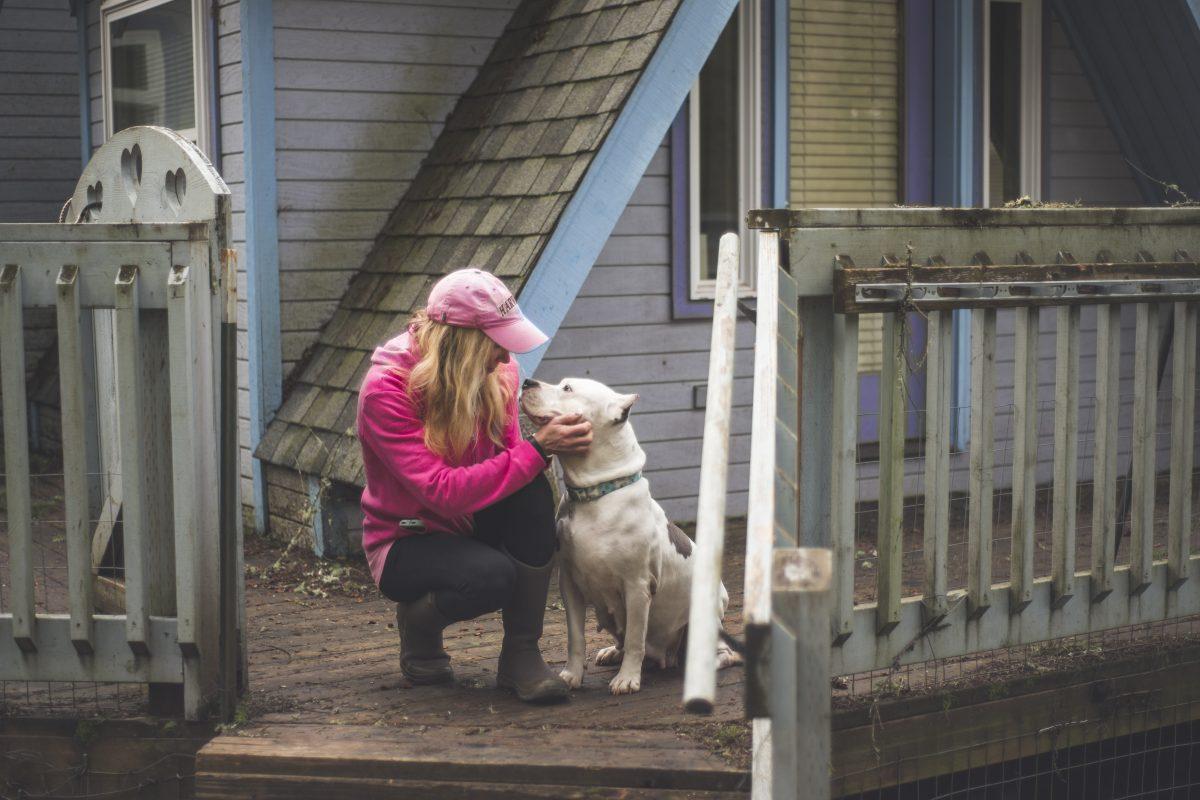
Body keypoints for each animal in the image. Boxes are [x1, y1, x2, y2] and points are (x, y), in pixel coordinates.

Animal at [518, 376, 739, 695]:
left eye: (568, 389)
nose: (527, 381)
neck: (596, 494)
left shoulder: (636, 586)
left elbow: (636, 637)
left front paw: (627, 678)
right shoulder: (569, 584)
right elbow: (576, 637)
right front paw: (571, 675)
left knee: (723, 652)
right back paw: (613, 652)